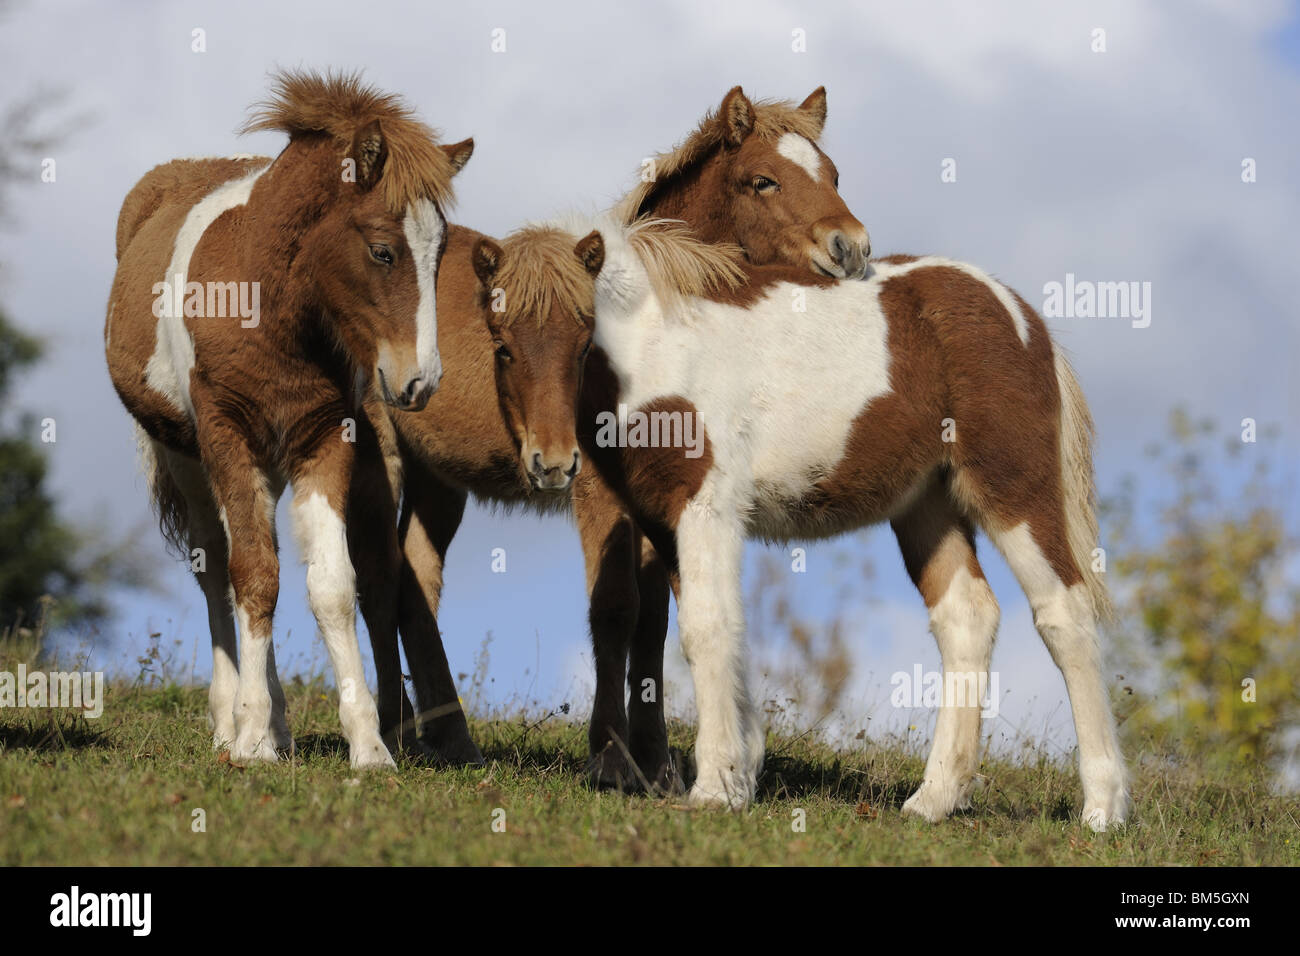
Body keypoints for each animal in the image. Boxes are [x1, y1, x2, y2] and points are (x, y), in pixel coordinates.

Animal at [105, 70, 473, 768]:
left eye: (440, 253)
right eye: (383, 252)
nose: (420, 383)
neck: (267, 307)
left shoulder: (322, 438)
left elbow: (330, 584)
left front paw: (367, 747)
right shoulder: (226, 434)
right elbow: (252, 578)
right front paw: (250, 738)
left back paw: (276, 722)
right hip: (189, 458)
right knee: (218, 570)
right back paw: (234, 722)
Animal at [372, 87, 871, 784]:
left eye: (834, 175)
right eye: (762, 180)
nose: (852, 249)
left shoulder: (665, 494)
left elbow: (655, 619)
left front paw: (658, 764)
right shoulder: (595, 489)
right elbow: (614, 606)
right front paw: (611, 760)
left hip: (438, 478)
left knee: (417, 583)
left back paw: (449, 742)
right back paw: (389, 734)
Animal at [470, 214, 1131, 832]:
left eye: (584, 341)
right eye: (500, 345)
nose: (551, 465)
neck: (654, 352)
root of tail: (1022, 317)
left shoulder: (705, 504)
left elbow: (706, 631)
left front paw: (714, 790)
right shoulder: (664, 517)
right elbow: (722, 626)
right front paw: (739, 776)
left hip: (1010, 489)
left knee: (1065, 615)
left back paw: (1103, 808)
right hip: (928, 505)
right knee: (967, 617)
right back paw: (932, 802)